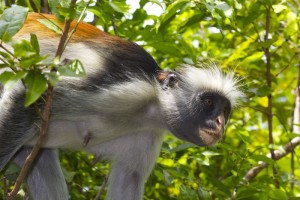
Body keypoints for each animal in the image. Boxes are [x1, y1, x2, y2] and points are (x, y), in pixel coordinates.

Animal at [0, 13, 243, 199]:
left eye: (225, 111)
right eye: (209, 102)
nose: (220, 122)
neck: (150, 110)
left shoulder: (148, 136)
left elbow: (128, 181)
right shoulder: (131, 91)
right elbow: (28, 98)